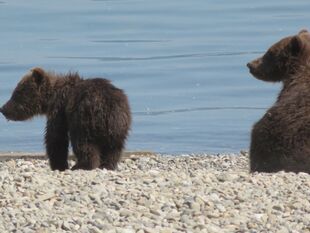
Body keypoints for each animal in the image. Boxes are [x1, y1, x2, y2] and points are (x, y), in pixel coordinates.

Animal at [0, 68, 131, 170]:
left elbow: (56, 137)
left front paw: (58, 165)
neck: (51, 97)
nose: (3, 109)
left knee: (83, 143)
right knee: (113, 148)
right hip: (118, 126)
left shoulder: (59, 110)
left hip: (84, 119)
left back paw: (82, 165)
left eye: (17, 93)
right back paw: (107, 165)